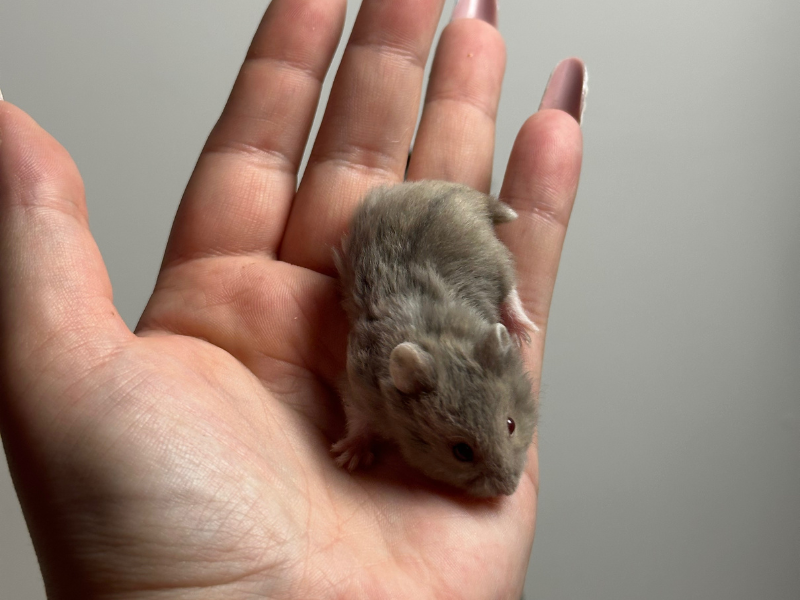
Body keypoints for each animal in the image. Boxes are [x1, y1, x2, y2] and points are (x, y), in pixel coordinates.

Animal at [332, 180, 537, 498]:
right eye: (462, 452)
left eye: (510, 424)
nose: (510, 491)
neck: (439, 337)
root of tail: (462, 194)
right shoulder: (359, 384)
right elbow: (359, 420)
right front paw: (347, 458)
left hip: (498, 261)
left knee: (511, 290)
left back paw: (522, 331)